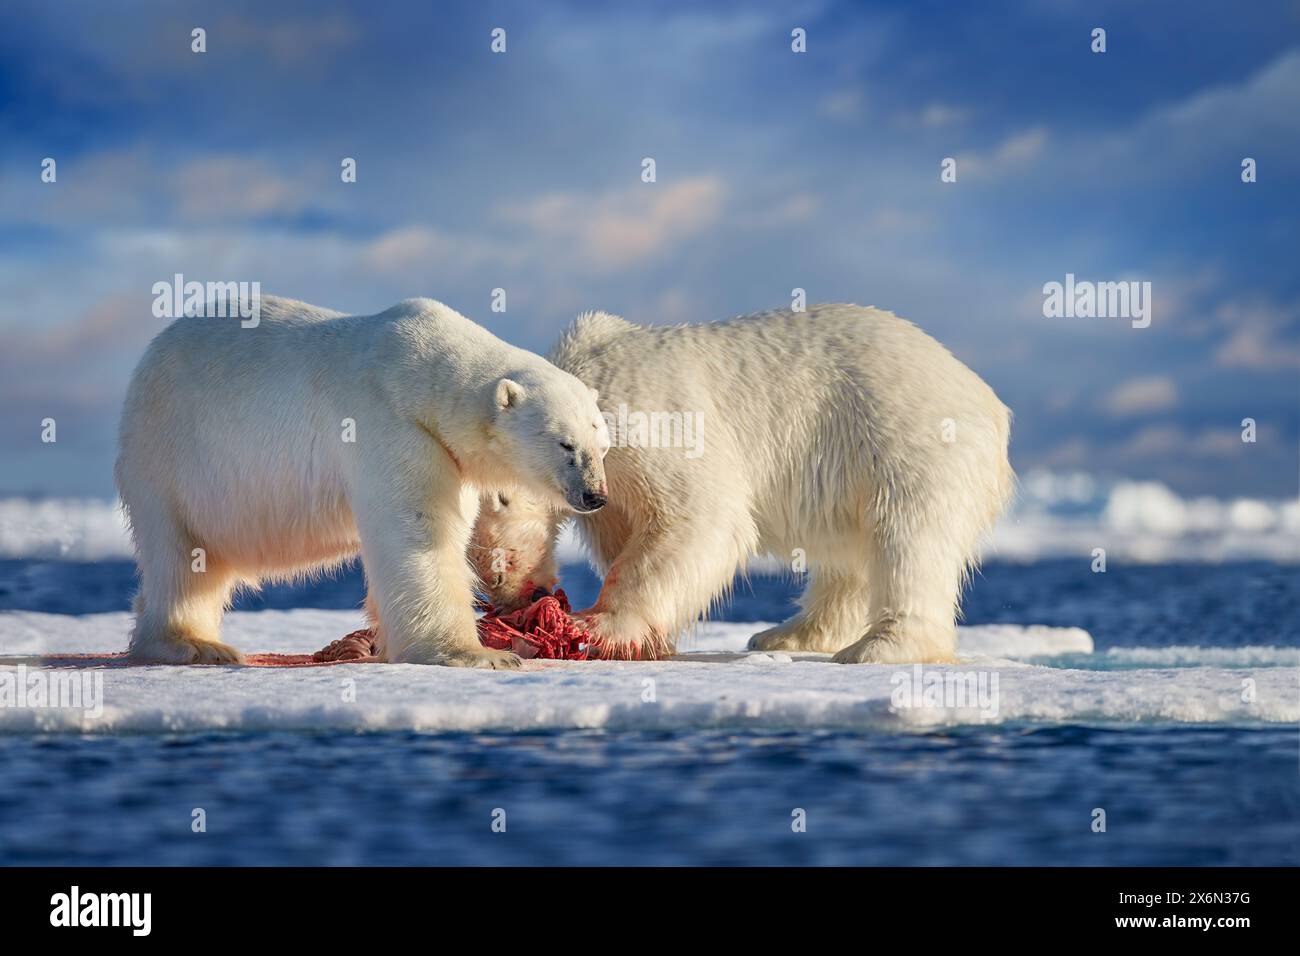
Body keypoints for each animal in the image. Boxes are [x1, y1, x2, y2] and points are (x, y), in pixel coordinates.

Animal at [116, 295, 610, 667]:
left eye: (603, 444)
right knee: (180, 556)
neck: (422, 374)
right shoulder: (390, 424)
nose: (595, 495)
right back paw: (193, 644)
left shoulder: (452, 456)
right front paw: (477, 653)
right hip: (171, 452)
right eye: (566, 444)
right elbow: (419, 530)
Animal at [470, 304, 1013, 664]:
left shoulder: (649, 422)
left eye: (501, 499)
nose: (500, 586)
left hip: (905, 436)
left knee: (910, 538)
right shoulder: (611, 497)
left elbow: (700, 515)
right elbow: (626, 531)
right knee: (848, 555)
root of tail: (986, 397)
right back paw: (787, 634)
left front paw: (596, 624)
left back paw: (878, 647)